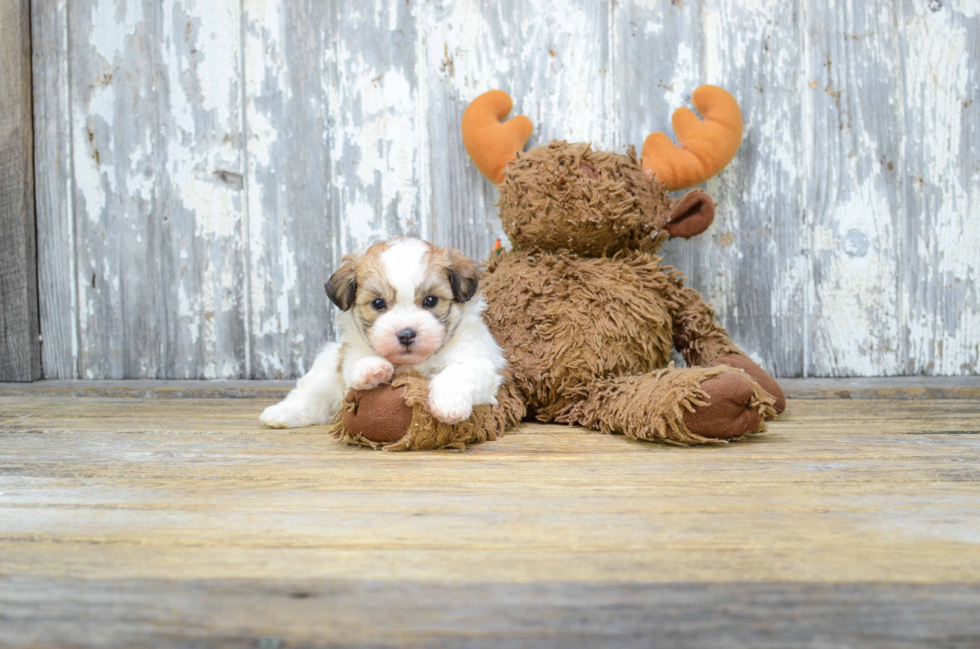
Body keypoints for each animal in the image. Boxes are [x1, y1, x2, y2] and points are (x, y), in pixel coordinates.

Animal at [256, 235, 510, 428]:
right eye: (378, 303)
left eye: (430, 300)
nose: (406, 334)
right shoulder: (350, 357)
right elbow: (356, 366)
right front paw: (372, 369)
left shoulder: (480, 362)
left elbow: (460, 371)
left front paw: (449, 403)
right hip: (325, 370)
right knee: (310, 396)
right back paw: (281, 414)